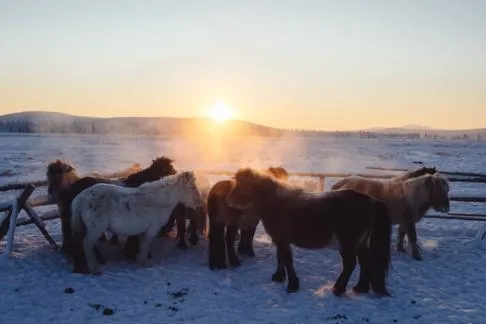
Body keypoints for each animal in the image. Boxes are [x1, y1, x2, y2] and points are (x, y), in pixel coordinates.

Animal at [70, 171, 203, 274]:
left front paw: (140, 259)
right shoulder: (152, 229)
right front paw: (145, 262)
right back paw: (95, 268)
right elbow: (146, 244)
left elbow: (142, 243)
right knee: (87, 244)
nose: (200, 203)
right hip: (95, 229)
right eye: (192, 187)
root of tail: (81, 198)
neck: (159, 201)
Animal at [226, 168, 392, 298]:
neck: (276, 202)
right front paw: (279, 277)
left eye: (242, 184)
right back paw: (360, 288)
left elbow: (287, 260)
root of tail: (371, 201)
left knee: (350, 264)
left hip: (348, 242)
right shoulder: (280, 239)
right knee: (366, 262)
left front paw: (292, 285)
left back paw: (338, 289)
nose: (229, 201)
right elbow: (281, 257)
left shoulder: (282, 239)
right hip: (361, 243)